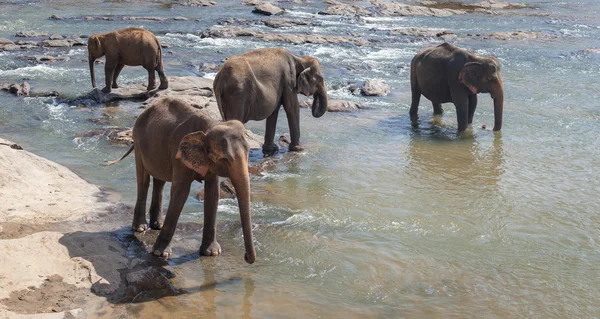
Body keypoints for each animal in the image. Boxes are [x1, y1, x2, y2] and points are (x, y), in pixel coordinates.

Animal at [105, 97, 255, 264]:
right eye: (225, 159)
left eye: (249, 152)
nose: (246, 258)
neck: (210, 126)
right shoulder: (179, 153)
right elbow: (181, 192)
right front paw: (159, 253)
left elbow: (212, 193)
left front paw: (212, 253)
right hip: (137, 141)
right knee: (143, 180)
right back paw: (140, 228)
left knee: (159, 181)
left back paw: (157, 225)